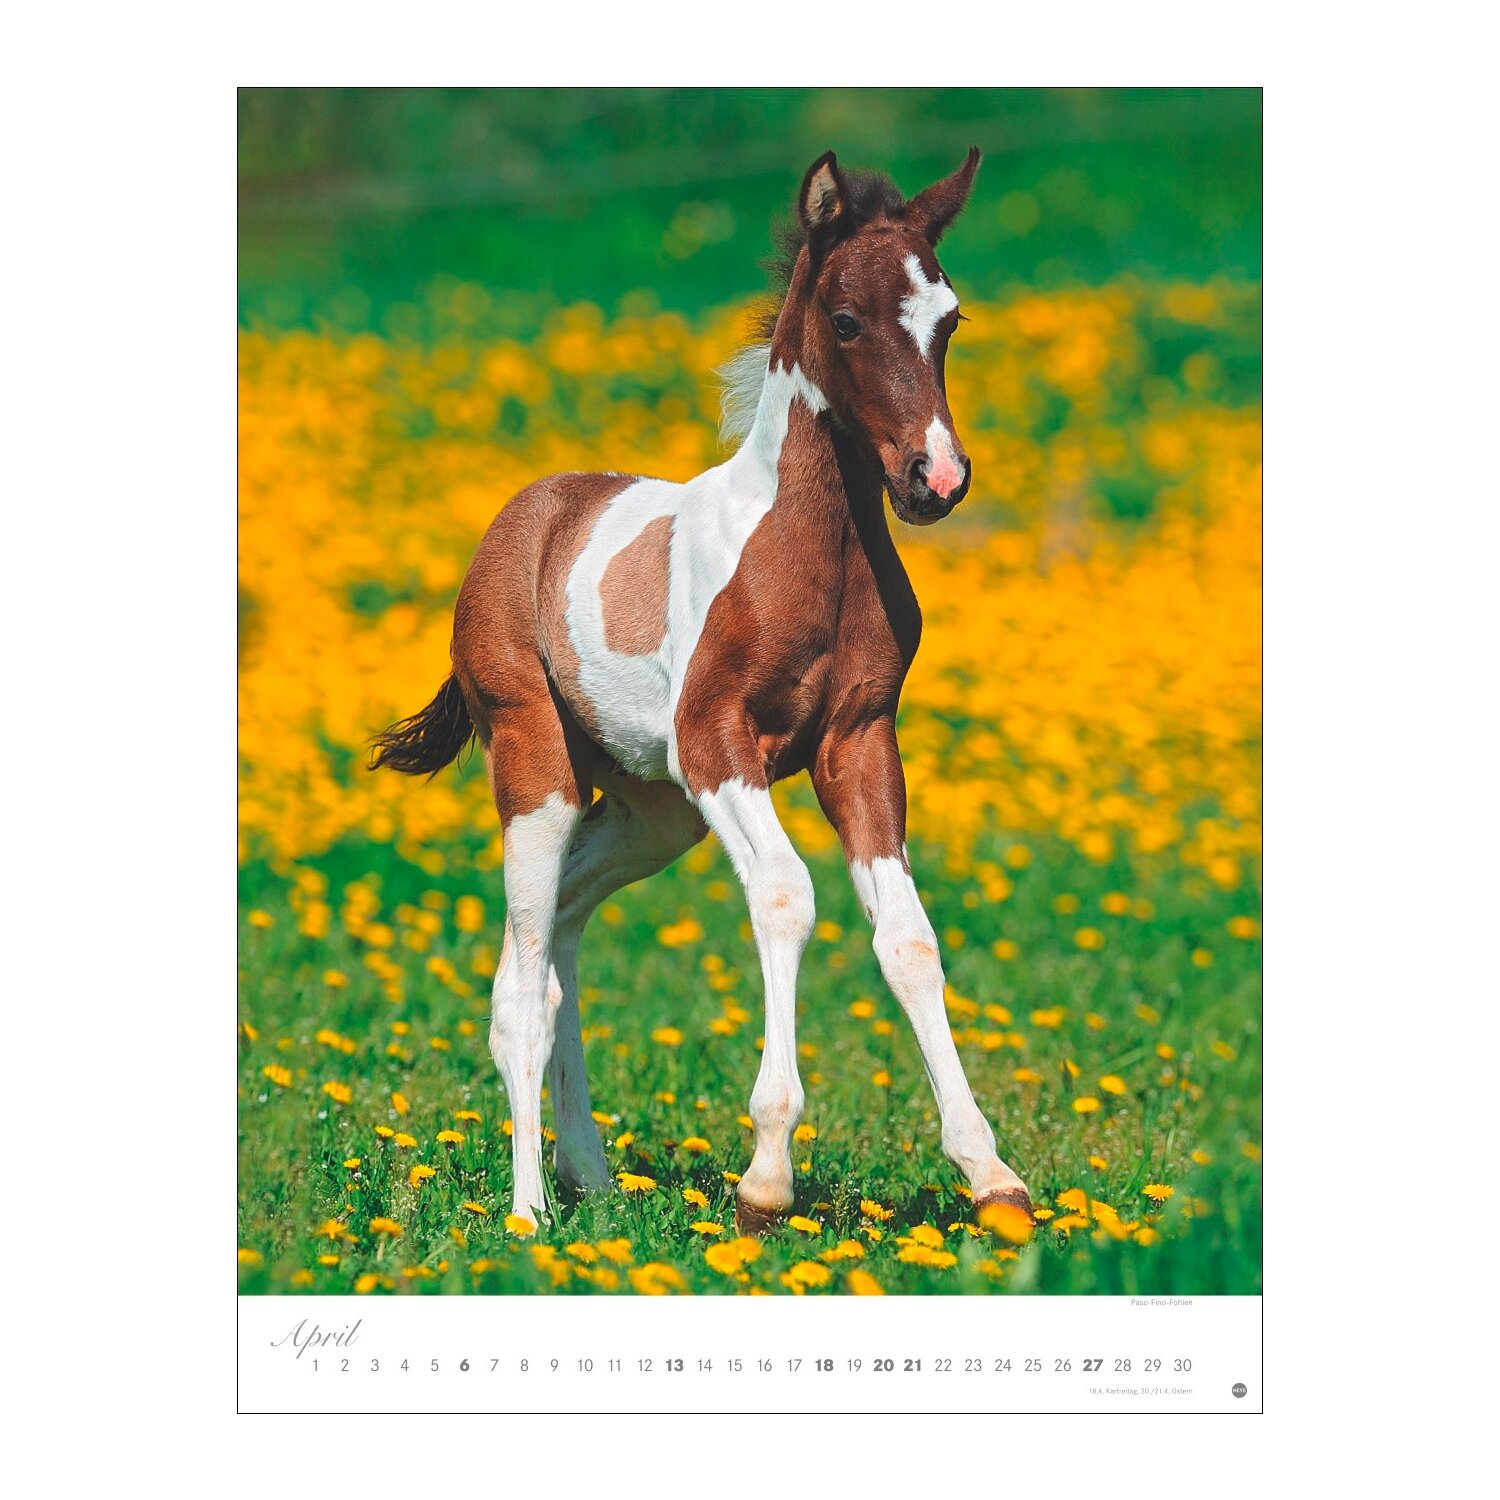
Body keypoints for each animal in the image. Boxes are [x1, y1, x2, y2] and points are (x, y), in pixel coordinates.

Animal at [372, 149, 1033, 1234]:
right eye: (845, 321)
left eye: (950, 319)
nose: (934, 480)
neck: (811, 550)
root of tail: (524, 512)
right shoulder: (718, 743)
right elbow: (786, 895)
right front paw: (766, 1178)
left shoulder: (858, 742)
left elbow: (908, 940)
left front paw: (993, 1177)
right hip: (540, 771)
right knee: (520, 988)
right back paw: (530, 1215)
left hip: (652, 810)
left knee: (557, 945)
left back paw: (592, 1178)